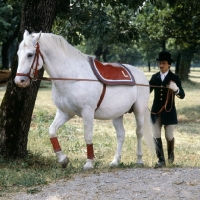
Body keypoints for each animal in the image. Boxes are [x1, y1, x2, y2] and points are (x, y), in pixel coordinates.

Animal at [14, 30, 155, 170]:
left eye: (30, 54)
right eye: (18, 54)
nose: (19, 81)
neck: (73, 77)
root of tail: (141, 75)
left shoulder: (87, 112)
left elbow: (88, 136)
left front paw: (89, 163)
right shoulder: (65, 112)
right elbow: (52, 131)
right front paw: (63, 159)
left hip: (139, 111)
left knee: (139, 133)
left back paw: (139, 160)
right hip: (117, 114)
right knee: (121, 135)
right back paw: (115, 161)